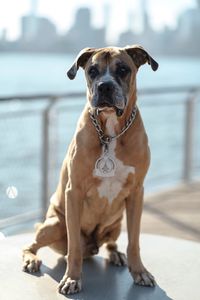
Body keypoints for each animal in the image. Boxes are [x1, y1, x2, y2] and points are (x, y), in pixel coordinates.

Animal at [21, 45, 159, 296]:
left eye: (123, 70)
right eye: (92, 71)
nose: (105, 86)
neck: (111, 132)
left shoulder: (137, 193)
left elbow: (134, 241)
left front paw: (139, 271)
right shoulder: (73, 192)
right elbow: (74, 245)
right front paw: (72, 278)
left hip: (116, 223)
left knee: (112, 242)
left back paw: (115, 254)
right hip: (53, 225)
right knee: (33, 244)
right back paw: (31, 259)